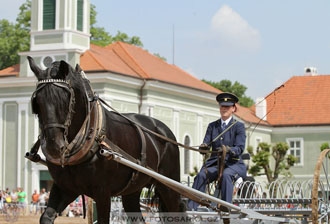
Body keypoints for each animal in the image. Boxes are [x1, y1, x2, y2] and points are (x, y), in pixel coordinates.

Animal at [26, 56, 184, 224]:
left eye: (65, 99)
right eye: (37, 102)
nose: (53, 147)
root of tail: (164, 131)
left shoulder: (102, 192)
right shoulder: (65, 188)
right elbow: (46, 217)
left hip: (169, 186)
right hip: (132, 191)